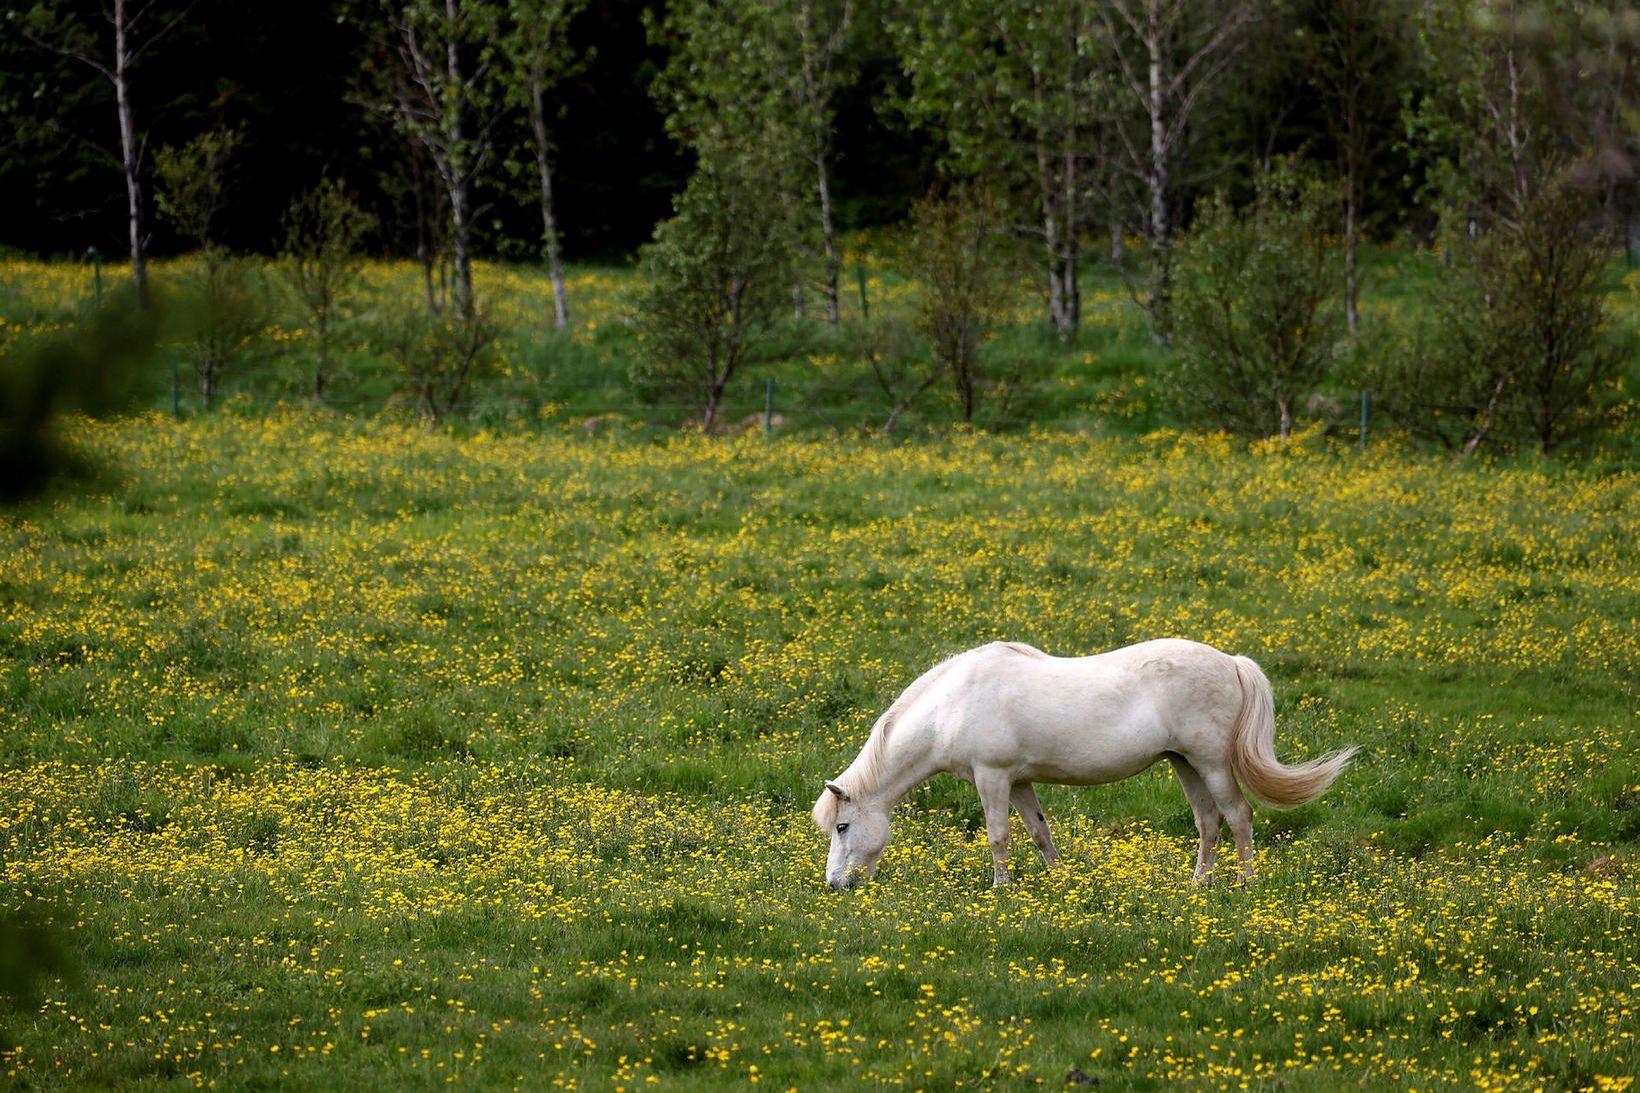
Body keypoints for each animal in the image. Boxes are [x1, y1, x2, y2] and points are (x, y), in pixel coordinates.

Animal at [810, 640, 1357, 886]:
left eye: (842, 826)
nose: (836, 885)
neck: (952, 705)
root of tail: (1232, 663)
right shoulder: (1019, 781)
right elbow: (1039, 832)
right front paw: (1059, 885)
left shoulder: (992, 777)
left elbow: (998, 837)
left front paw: (1001, 890)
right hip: (1184, 764)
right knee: (1209, 821)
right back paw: (1198, 885)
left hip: (1212, 764)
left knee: (1238, 817)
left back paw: (1245, 885)